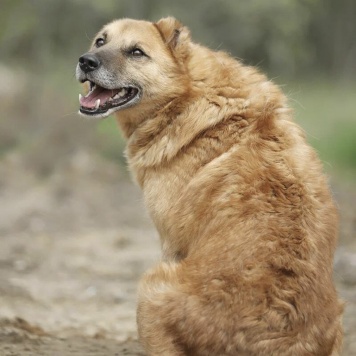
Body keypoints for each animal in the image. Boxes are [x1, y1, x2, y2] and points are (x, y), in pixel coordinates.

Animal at [76, 17, 344, 356]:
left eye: (136, 52)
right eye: (100, 41)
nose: (85, 61)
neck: (188, 96)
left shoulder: (171, 244)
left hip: (150, 288)